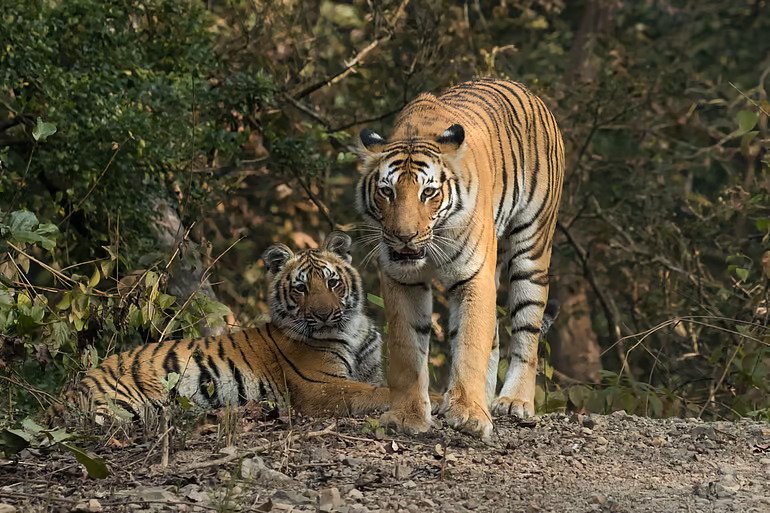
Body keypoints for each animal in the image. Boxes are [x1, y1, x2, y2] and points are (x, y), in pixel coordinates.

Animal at [62, 232, 396, 423]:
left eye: (332, 282)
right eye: (301, 288)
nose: (325, 314)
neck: (351, 330)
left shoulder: (370, 369)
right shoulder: (322, 385)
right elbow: (375, 393)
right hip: (123, 405)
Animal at [356, 78, 565, 439]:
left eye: (428, 192)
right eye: (387, 191)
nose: (404, 236)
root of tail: (528, 91)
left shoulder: (473, 275)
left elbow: (470, 343)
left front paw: (468, 414)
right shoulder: (401, 278)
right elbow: (407, 348)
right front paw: (408, 416)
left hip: (532, 248)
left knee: (527, 331)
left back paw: (514, 402)